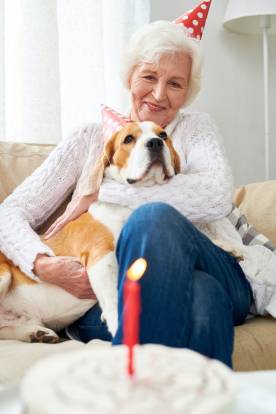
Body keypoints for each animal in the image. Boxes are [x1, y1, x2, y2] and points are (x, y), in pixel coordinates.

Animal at [0, 120, 180, 342]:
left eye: (163, 135)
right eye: (128, 139)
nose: (155, 143)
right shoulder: (101, 256)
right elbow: (113, 299)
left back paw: (38, 334)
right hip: (4, 275)